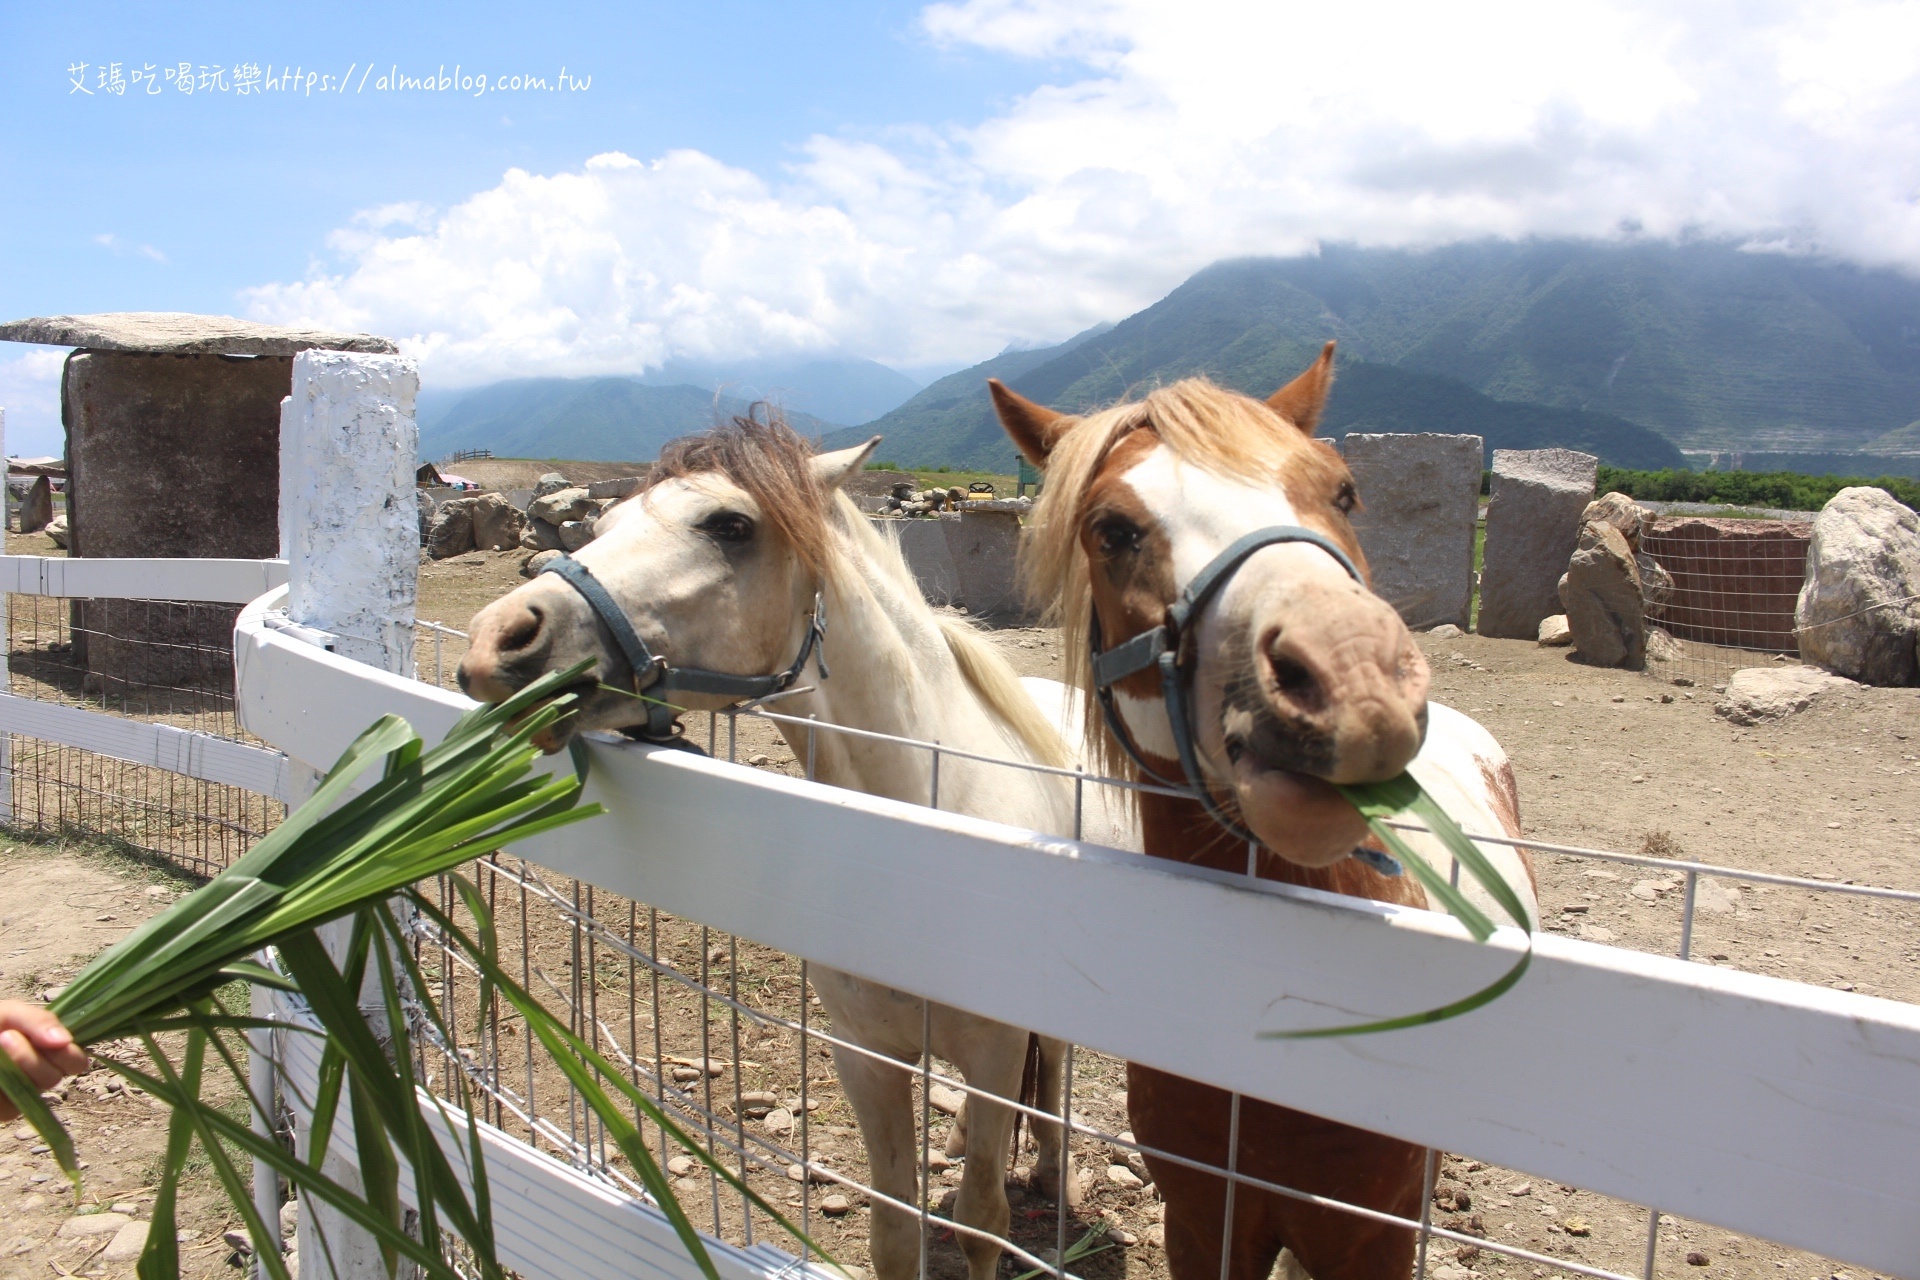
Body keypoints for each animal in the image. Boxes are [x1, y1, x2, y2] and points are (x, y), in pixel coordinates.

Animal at [462, 416, 1121, 1280]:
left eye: (731, 525)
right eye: (605, 524)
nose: (496, 639)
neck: (927, 852)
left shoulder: (992, 1050)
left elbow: (983, 1219)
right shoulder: (864, 1057)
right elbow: (892, 1229)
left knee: (1052, 1078)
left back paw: (1048, 1166)